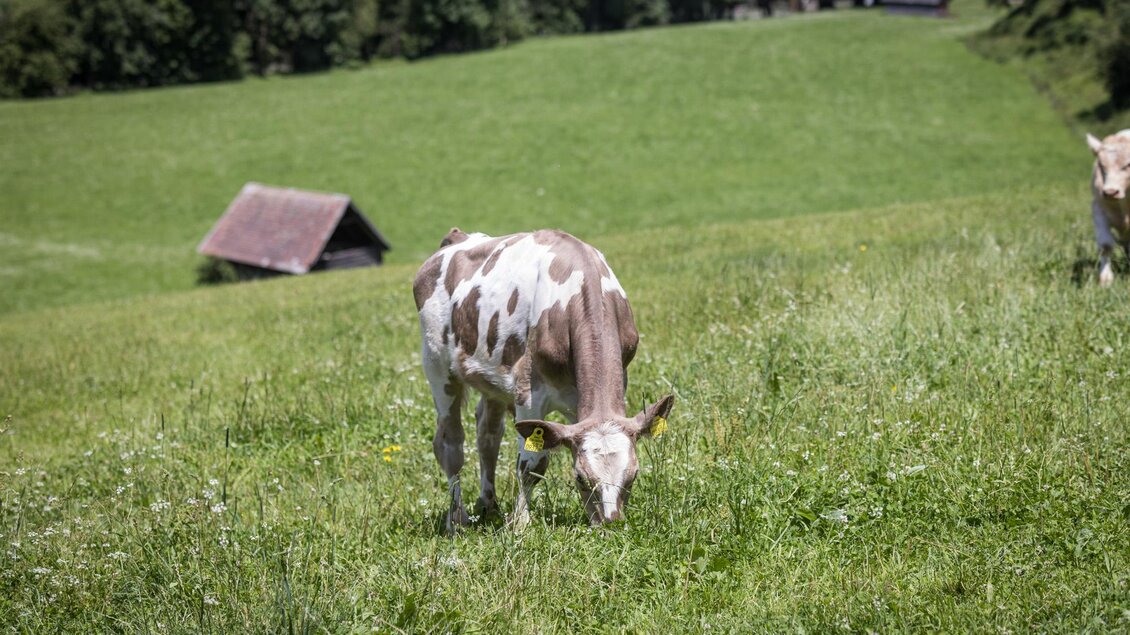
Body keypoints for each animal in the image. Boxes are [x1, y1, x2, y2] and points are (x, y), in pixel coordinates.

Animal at [413, 228, 674, 533]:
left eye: (632, 476)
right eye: (580, 478)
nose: (610, 523)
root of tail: (458, 237)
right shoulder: (529, 392)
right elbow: (531, 464)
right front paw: (521, 524)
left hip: (491, 380)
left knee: (488, 435)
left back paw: (489, 505)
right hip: (437, 366)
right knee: (450, 443)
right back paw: (456, 520)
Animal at [1087, 130, 1130, 286]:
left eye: (1128, 164)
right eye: (1101, 165)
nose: (1110, 192)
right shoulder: (1098, 209)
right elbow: (1105, 245)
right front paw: (1105, 279)